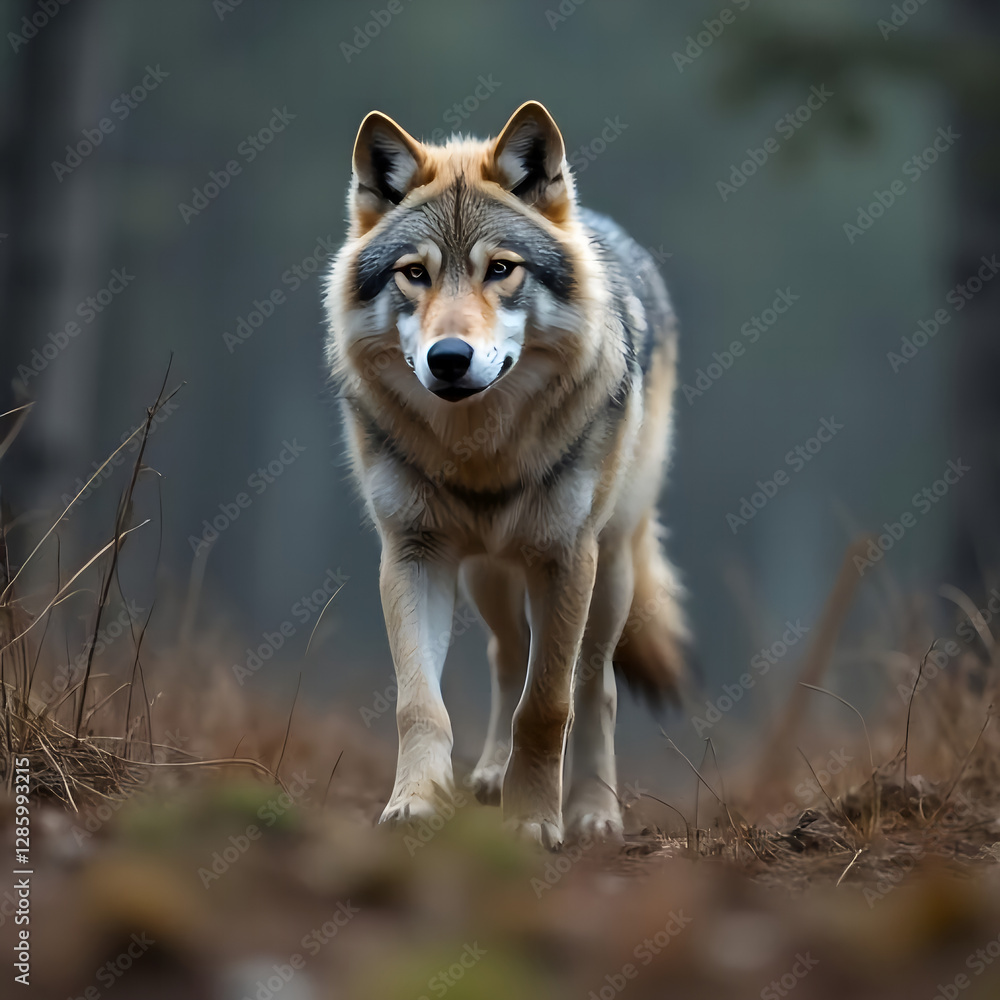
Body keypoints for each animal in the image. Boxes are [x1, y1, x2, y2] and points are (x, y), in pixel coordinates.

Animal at [324, 102, 687, 848]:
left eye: (500, 269)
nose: (449, 358)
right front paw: (417, 804)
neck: (481, 450)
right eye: (414, 274)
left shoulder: (565, 558)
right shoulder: (412, 554)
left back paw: (594, 812)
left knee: (594, 685)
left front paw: (535, 822)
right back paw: (491, 775)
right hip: (489, 573)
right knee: (507, 654)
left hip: (610, 567)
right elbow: (419, 703)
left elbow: (548, 705)